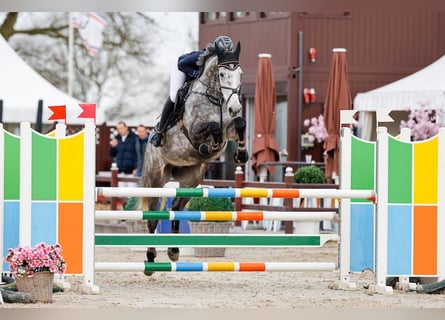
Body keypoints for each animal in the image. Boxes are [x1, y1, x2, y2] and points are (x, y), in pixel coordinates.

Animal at [140, 41, 246, 274]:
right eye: (222, 74)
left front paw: (241, 154)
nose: (235, 107)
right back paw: (150, 259)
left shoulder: (230, 128)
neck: (215, 96)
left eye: (240, 74)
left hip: (191, 178)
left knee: (177, 208)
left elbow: (240, 124)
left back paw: (173, 251)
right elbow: (212, 127)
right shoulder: (194, 131)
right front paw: (209, 145)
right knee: (152, 217)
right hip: (155, 178)